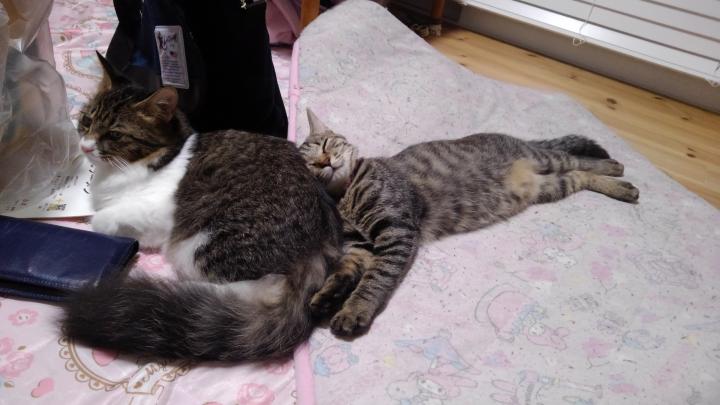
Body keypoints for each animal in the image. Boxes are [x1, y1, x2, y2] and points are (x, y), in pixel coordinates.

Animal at [60, 53, 342, 362]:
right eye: (87, 121)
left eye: (113, 135)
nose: (86, 147)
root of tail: (320, 242)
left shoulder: (154, 217)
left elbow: (101, 219)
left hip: (199, 248)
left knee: (254, 290)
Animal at [299, 109, 639, 337]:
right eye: (310, 162)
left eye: (327, 144)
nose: (324, 162)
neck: (345, 195)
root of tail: (514, 138)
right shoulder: (361, 246)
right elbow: (343, 272)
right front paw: (327, 297)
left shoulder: (397, 230)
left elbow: (375, 279)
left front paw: (354, 309)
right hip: (549, 186)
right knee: (580, 176)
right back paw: (619, 187)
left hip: (545, 159)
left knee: (577, 160)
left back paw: (614, 167)